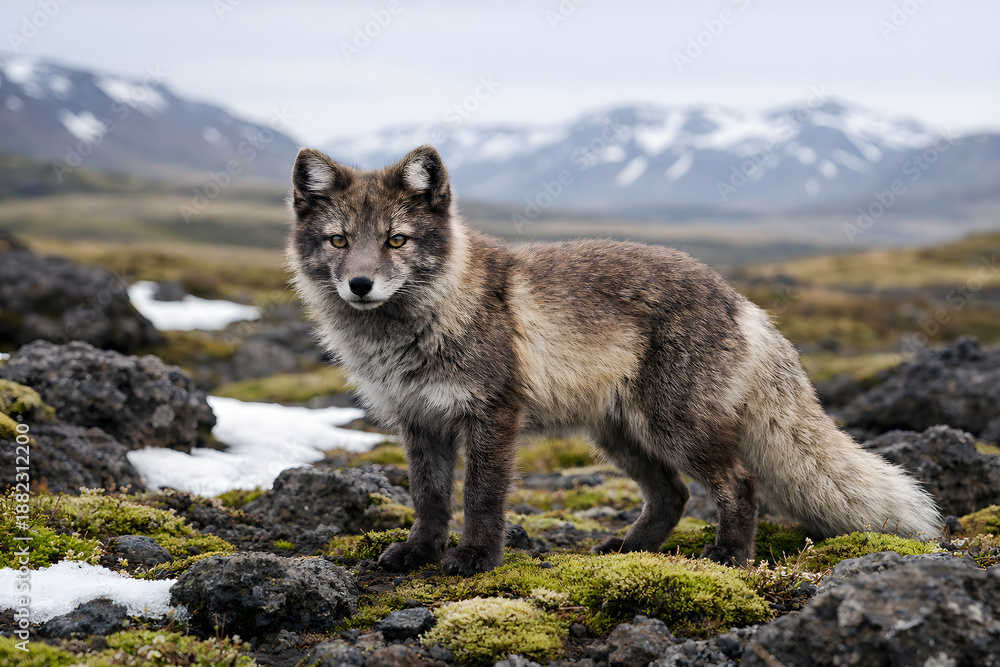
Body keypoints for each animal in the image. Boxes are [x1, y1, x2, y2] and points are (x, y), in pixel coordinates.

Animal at [286, 144, 941, 576]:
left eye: (396, 239)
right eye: (340, 240)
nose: (361, 285)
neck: (417, 329)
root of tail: (739, 300)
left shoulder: (492, 417)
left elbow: (481, 497)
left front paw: (475, 558)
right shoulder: (419, 422)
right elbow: (429, 499)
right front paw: (419, 553)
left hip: (675, 428)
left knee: (740, 484)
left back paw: (728, 558)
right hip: (620, 435)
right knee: (673, 495)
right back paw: (628, 551)